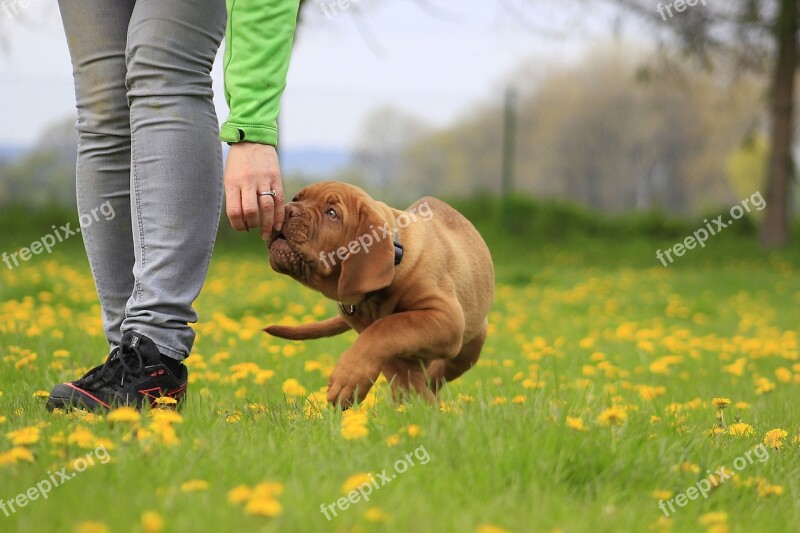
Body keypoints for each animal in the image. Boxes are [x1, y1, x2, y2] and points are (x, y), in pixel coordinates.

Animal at [268, 181, 494, 406]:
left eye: (332, 213)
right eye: (296, 199)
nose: (287, 210)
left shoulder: (446, 317)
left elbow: (386, 328)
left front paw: (347, 379)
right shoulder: (366, 327)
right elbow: (392, 358)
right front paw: (417, 402)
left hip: (468, 348)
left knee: (438, 372)